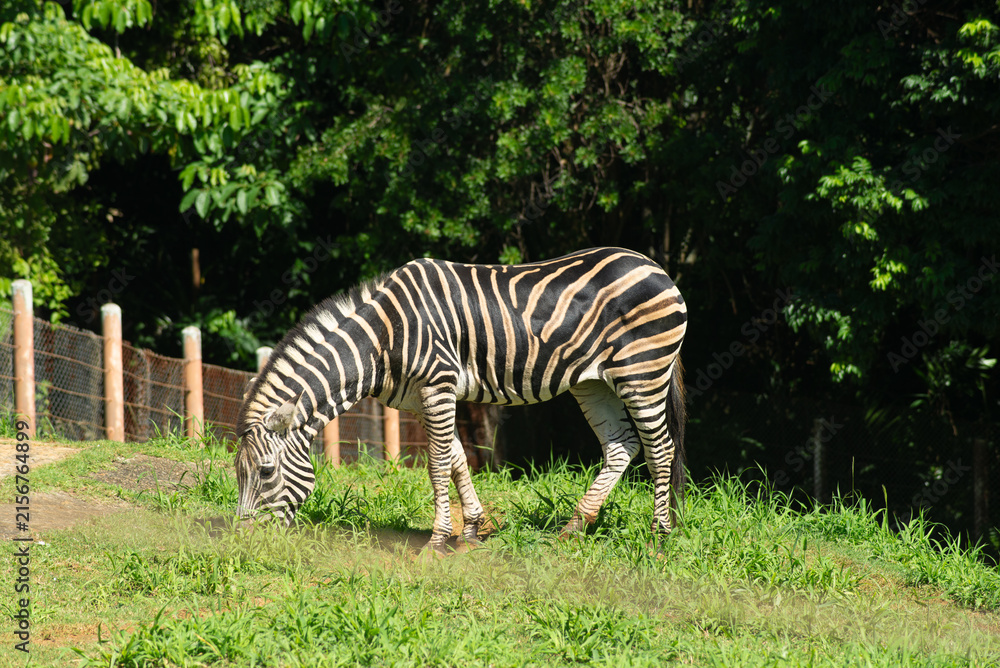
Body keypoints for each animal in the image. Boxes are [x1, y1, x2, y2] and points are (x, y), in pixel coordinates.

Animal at [235, 247, 688, 551]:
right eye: (238, 473)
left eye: (266, 471)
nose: (243, 540)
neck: (382, 337)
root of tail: (655, 266)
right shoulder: (423, 398)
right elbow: (455, 460)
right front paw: (471, 528)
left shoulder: (438, 384)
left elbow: (437, 466)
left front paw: (437, 539)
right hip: (593, 382)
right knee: (621, 445)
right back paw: (575, 526)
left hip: (642, 372)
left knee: (660, 448)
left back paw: (659, 536)